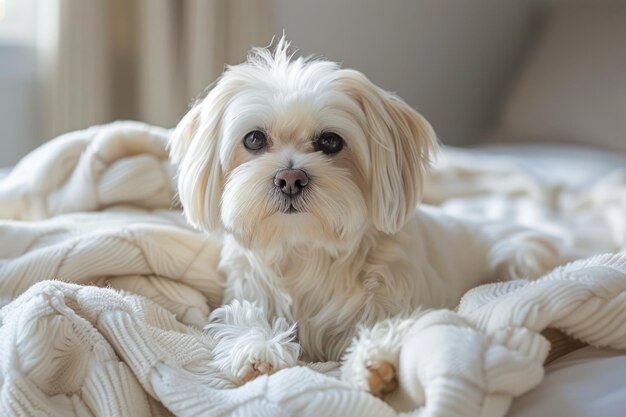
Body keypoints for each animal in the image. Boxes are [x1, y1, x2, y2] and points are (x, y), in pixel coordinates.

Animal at [167, 39, 560, 396]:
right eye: (254, 139)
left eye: (330, 141)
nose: (290, 179)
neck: (307, 250)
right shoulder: (250, 293)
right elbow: (245, 318)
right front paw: (257, 348)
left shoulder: (396, 303)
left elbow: (391, 326)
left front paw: (378, 360)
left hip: (521, 257)